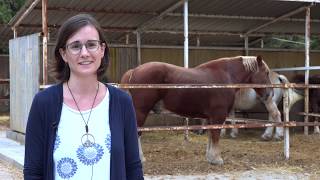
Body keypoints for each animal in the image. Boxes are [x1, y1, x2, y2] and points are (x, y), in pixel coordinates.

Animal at [120, 56, 272, 165]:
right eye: (266, 73)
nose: (269, 94)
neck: (226, 76)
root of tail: (134, 71)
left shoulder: (211, 117)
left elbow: (211, 136)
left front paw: (210, 158)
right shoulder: (218, 115)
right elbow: (216, 136)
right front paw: (217, 159)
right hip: (140, 111)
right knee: (137, 132)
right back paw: (140, 159)